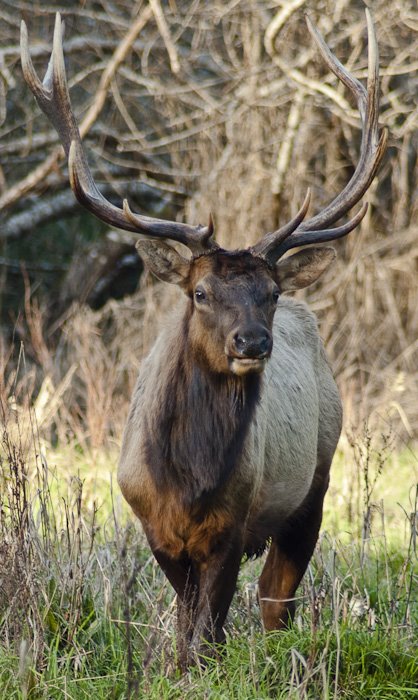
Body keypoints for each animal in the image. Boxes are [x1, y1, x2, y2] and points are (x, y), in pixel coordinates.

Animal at [21, 10, 386, 668]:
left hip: (315, 483)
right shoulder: (153, 525)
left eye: (270, 291)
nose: (253, 342)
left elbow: (208, 632)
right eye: (200, 292)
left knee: (276, 601)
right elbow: (187, 625)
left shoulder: (233, 523)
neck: (187, 482)